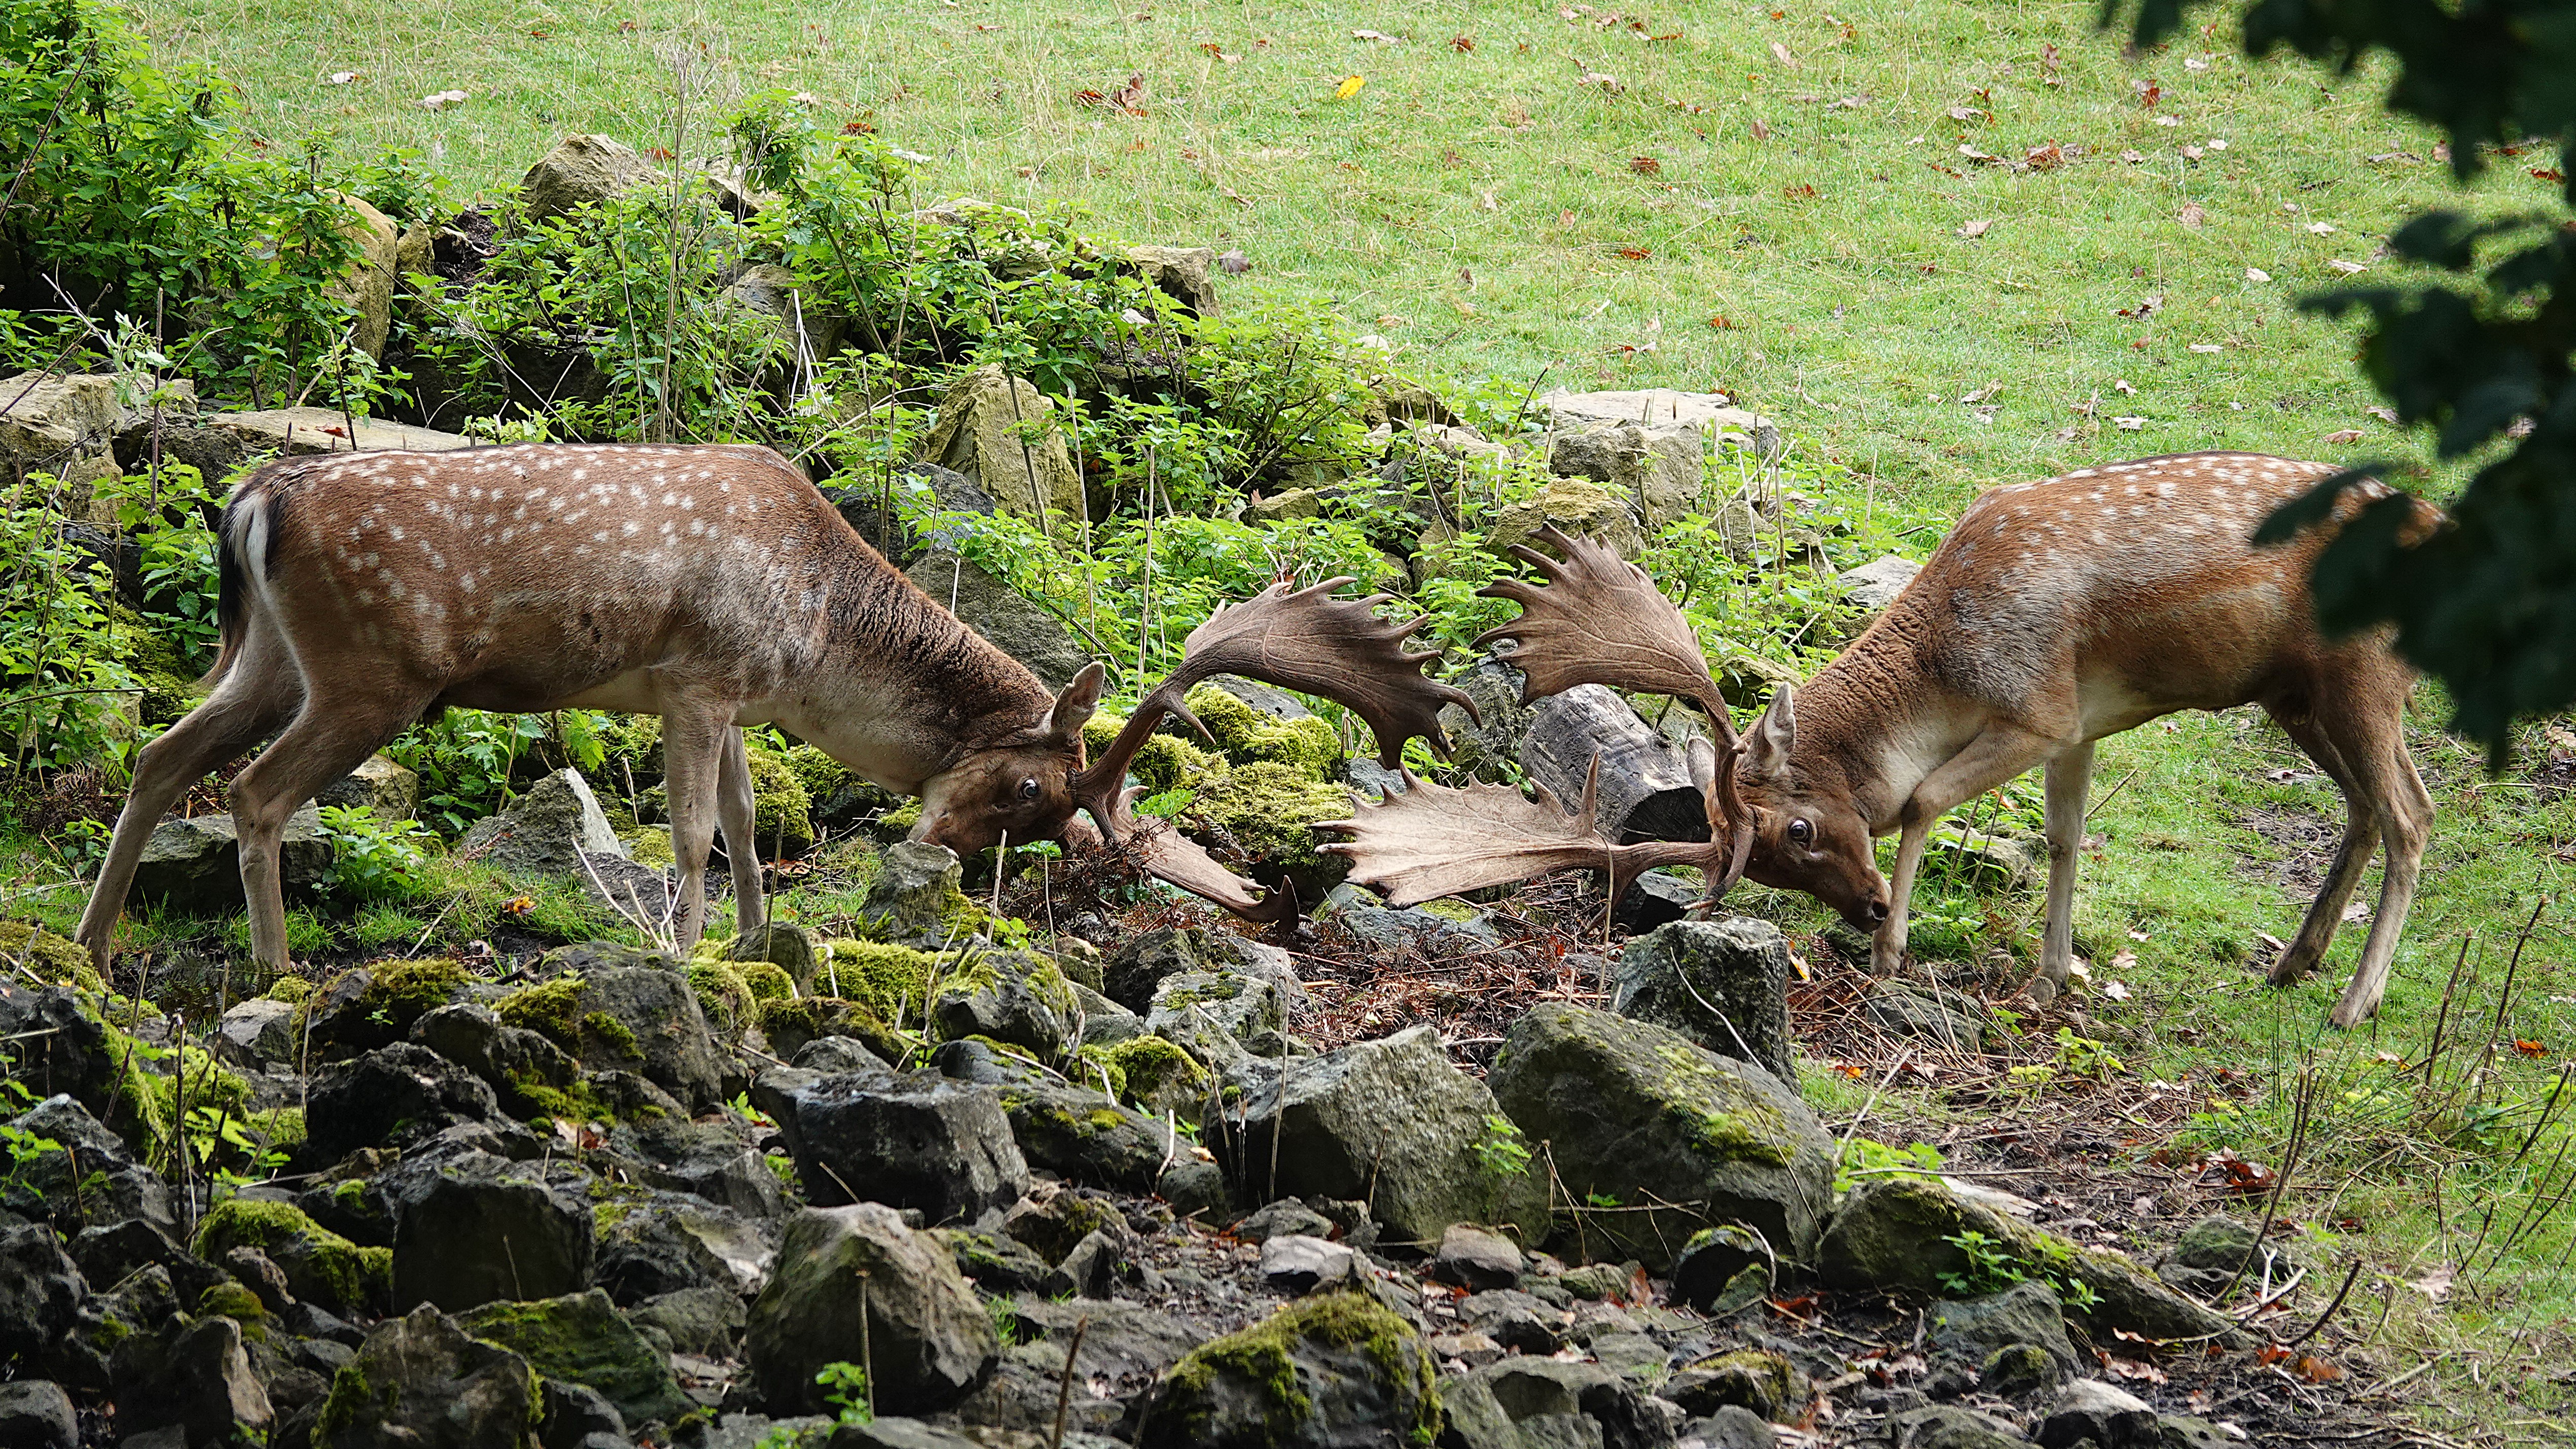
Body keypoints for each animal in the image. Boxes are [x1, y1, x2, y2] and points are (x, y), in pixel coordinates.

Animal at [75, 441, 1471, 976]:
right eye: (1031, 789)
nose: (933, 849)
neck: (814, 641)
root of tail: (254, 498)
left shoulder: (737, 700)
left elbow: (749, 830)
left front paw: (757, 941)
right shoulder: (699, 681)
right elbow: (692, 834)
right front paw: (681, 952)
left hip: (269, 657)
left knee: (159, 753)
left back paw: (93, 941)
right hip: (372, 670)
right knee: (251, 790)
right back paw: (272, 966)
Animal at [1328, 452, 2440, 1028]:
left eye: (1799, 830)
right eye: (1769, 865)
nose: (1861, 908)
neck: (1947, 661)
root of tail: (2440, 523)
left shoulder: (2038, 705)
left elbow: (1920, 799)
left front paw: (1896, 951)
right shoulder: (2079, 721)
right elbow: (2066, 837)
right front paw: (2049, 974)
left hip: (2362, 674)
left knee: (2410, 811)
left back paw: (2354, 1001)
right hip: (2292, 695)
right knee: (2361, 808)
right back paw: (2292, 964)